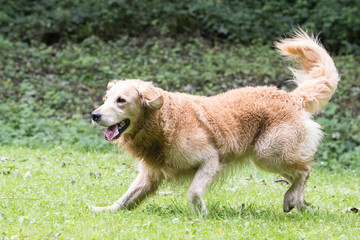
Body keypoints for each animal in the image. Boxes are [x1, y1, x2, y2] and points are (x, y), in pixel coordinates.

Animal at [88, 29, 338, 213]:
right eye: (105, 99)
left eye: (121, 100)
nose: (94, 115)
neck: (164, 122)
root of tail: (290, 96)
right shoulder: (150, 175)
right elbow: (125, 198)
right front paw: (103, 210)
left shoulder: (211, 159)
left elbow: (193, 191)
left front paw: (201, 214)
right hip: (270, 157)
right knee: (299, 173)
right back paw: (298, 202)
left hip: (268, 153)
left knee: (305, 169)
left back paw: (291, 199)